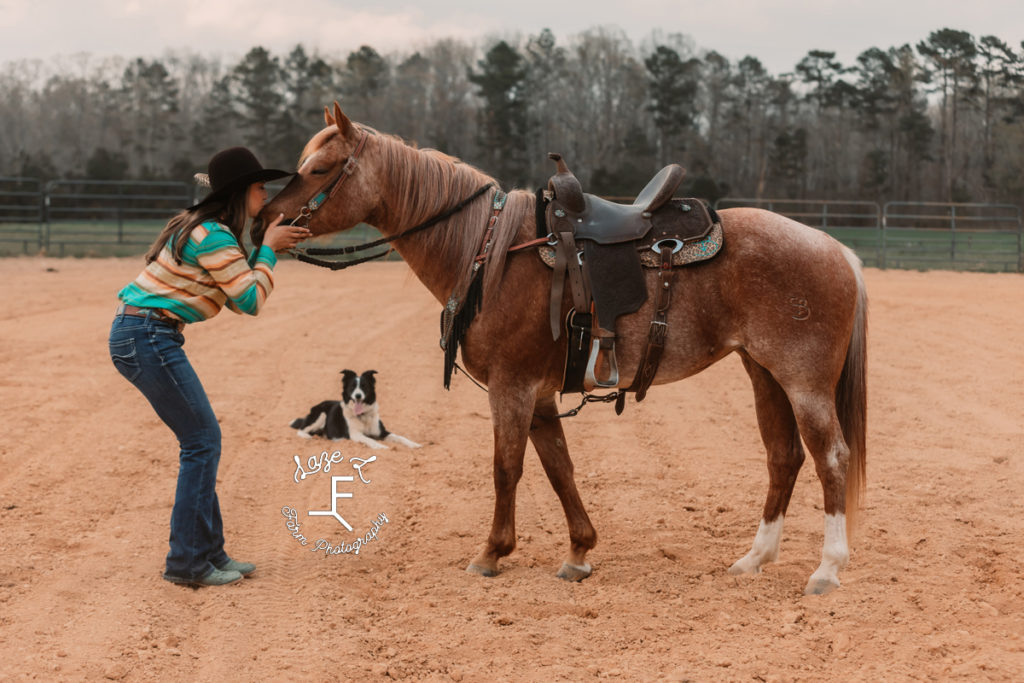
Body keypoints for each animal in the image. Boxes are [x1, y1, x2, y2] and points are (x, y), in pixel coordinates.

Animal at [288, 370, 419, 450]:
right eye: (352, 387)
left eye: (364, 386)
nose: (358, 396)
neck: (363, 415)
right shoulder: (355, 434)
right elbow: (368, 439)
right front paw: (380, 446)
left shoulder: (382, 432)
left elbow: (399, 437)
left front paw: (414, 444)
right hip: (321, 414)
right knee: (301, 430)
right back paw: (308, 437)